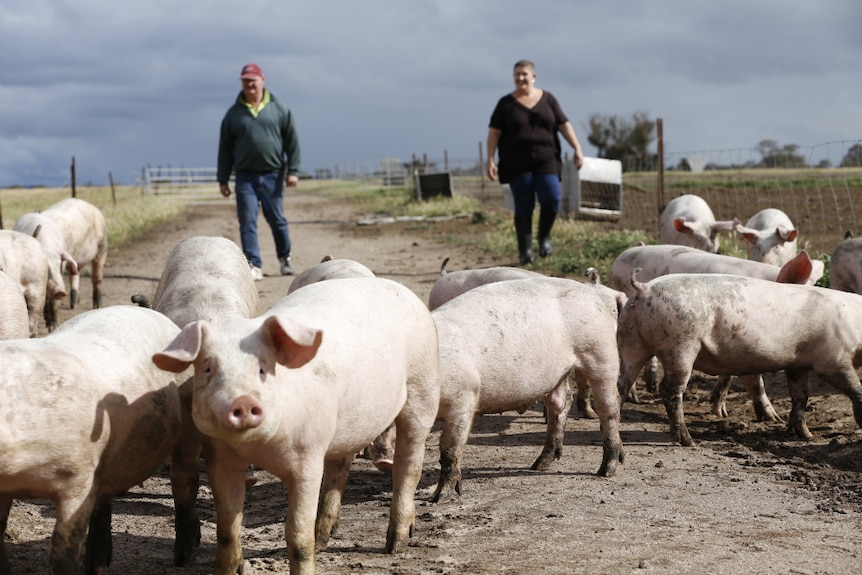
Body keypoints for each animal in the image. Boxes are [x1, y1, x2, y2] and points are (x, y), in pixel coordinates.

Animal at [426, 276, 620, 502]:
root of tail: (589, 289)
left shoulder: (463, 399)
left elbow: (449, 447)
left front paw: (438, 497)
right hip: (556, 374)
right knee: (560, 405)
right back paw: (539, 465)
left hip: (600, 352)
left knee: (609, 406)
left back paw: (606, 470)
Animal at [616, 272, 862, 448]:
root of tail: (644, 289)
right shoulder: (832, 358)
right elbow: (855, 388)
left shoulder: (797, 365)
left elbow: (801, 397)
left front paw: (804, 435)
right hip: (680, 345)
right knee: (670, 391)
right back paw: (689, 441)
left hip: (629, 342)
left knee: (621, 384)